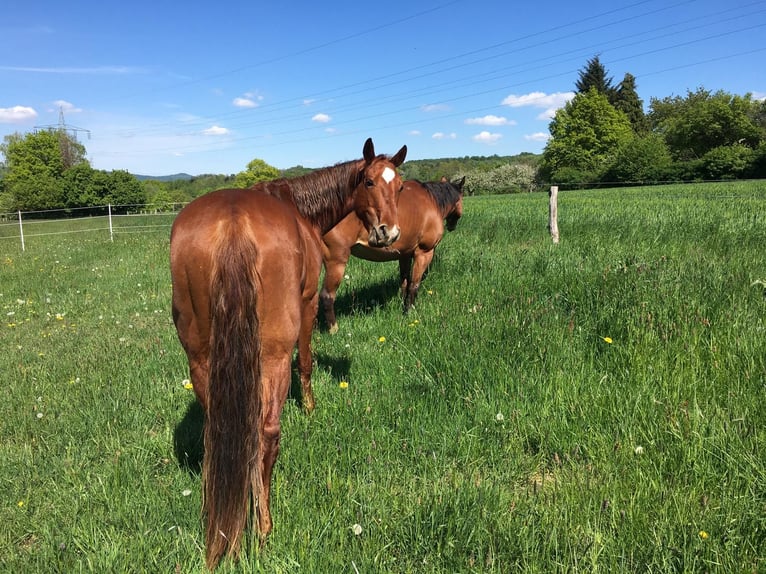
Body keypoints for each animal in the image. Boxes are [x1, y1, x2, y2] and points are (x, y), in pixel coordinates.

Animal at [169, 138, 406, 570]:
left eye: (399, 187)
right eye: (368, 181)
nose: (388, 232)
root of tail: (233, 223)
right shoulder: (309, 303)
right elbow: (307, 361)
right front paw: (310, 407)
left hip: (201, 359)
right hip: (272, 357)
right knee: (266, 434)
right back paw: (263, 529)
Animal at [320, 176, 464, 333]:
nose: (452, 226)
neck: (431, 200)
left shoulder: (404, 255)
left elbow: (404, 282)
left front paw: (402, 304)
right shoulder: (424, 253)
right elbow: (414, 284)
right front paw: (409, 311)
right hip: (336, 261)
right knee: (327, 296)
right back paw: (334, 330)